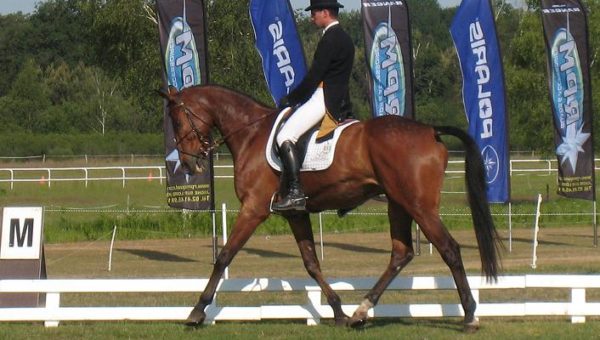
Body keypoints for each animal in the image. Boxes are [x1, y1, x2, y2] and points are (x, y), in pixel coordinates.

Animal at [159, 83, 502, 330]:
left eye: (176, 120)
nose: (188, 164)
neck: (251, 133)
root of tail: (430, 130)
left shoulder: (253, 209)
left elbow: (224, 256)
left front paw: (197, 311)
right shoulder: (295, 213)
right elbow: (312, 264)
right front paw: (337, 311)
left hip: (419, 206)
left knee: (449, 249)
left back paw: (470, 316)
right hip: (398, 204)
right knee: (401, 254)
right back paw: (360, 312)